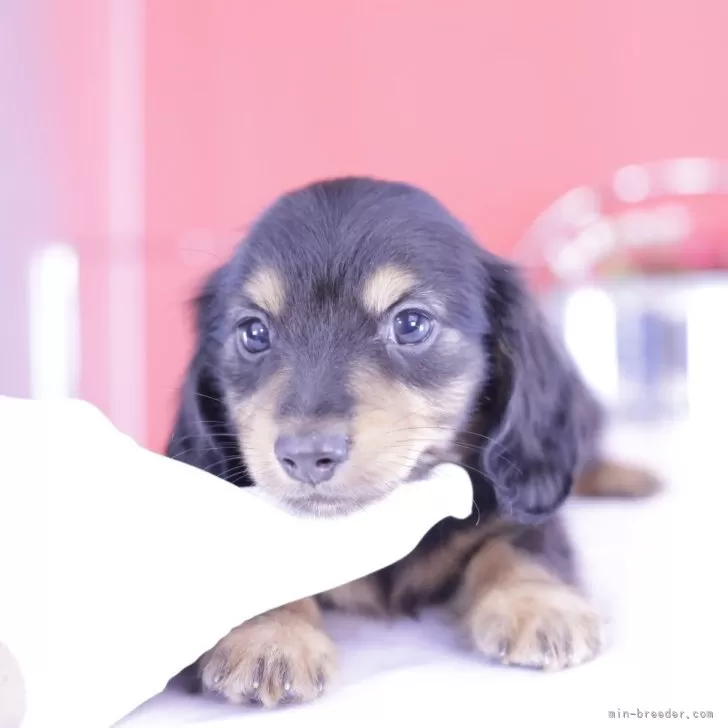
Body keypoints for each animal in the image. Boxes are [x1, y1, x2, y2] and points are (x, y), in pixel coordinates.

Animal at [166, 175, 660, 704]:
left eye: (410, 324)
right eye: (254, 332)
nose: (306, 456)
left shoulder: (522, 511)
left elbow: (519, 543)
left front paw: (538, 603)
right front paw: (269, 636)